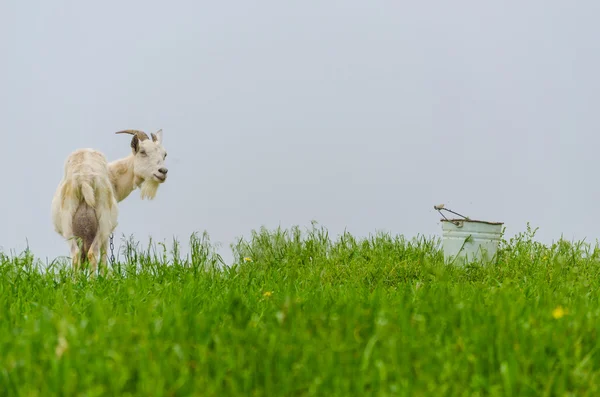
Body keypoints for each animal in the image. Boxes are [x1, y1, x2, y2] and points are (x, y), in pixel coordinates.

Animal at [51, 128, 169, 274]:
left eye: (164, 154)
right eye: (143, 152)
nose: (162, 171)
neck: (113, 176)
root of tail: (84, 179)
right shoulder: (108, 233)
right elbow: (104, 259)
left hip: (68, 223)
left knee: (76, 254)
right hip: (102, 222)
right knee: (93, 253)